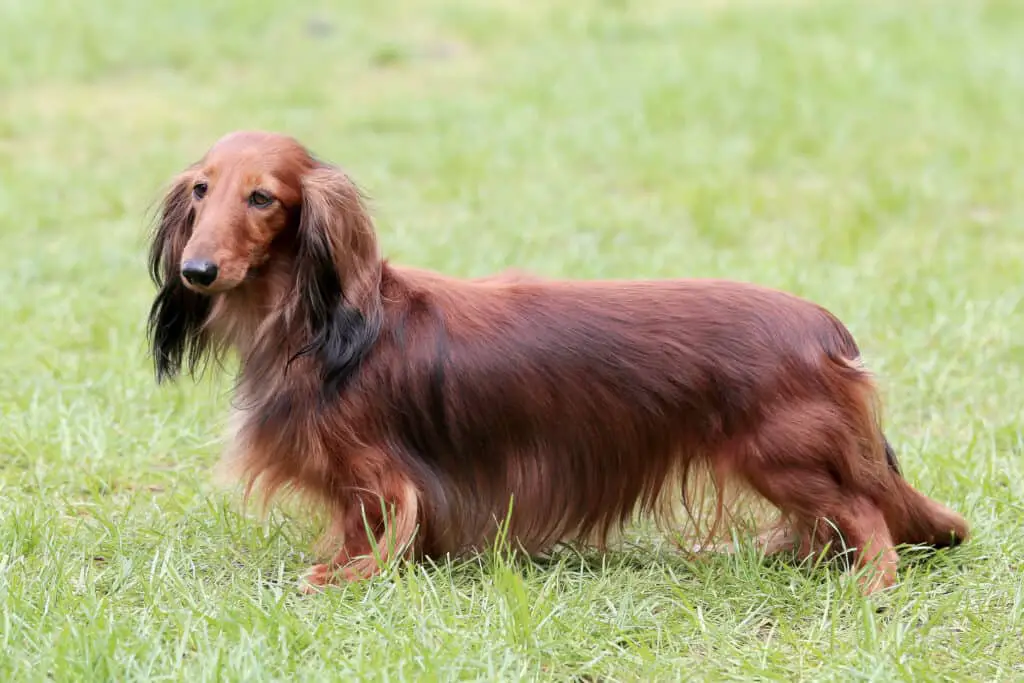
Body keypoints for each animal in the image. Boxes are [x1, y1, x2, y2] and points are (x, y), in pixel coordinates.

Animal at [144, 131, 966, 593]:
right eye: (201, 190)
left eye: (263, 198)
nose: (197, 271)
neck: (321, 323)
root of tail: (827, 330)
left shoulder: (378, 472)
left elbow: (372, 527)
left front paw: (343, 578)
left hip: (784, 455)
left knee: (864, 514)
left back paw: (871, 584)